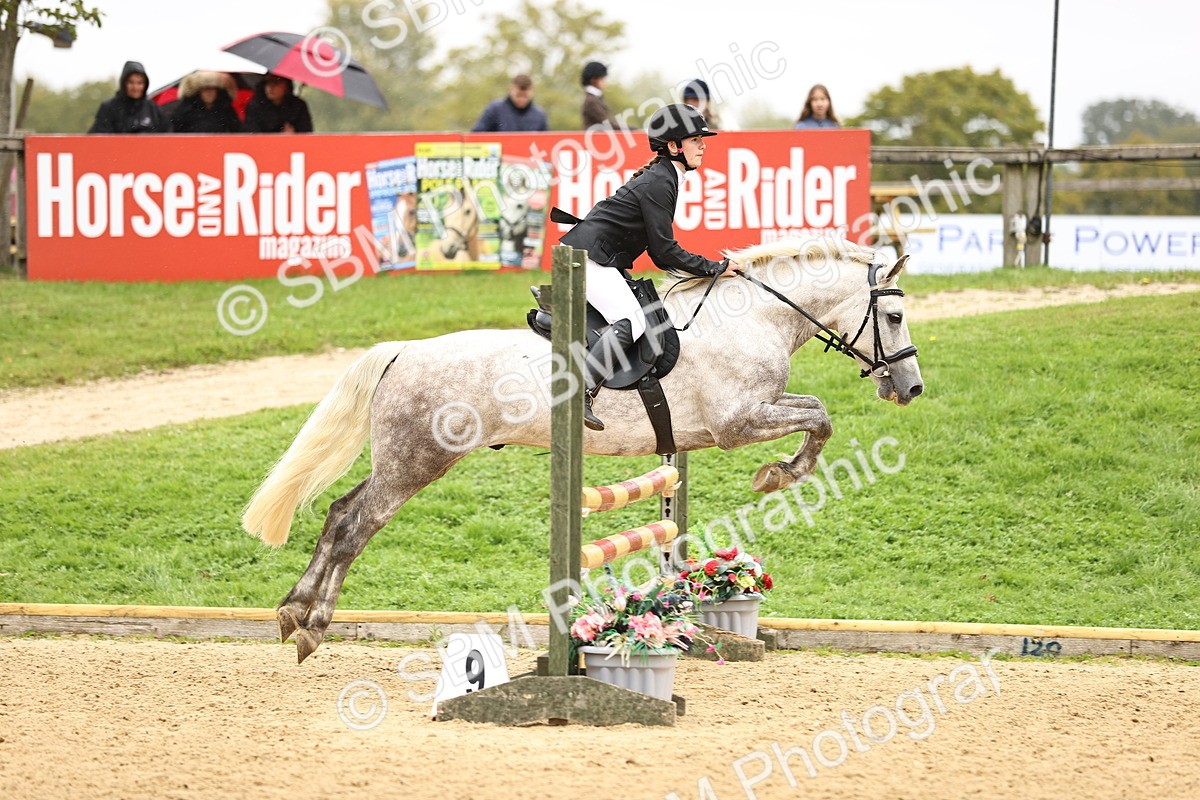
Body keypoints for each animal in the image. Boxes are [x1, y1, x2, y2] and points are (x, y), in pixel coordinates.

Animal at [242, 237, 924, 662]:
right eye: (893, 318)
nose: (910, 388)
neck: (751, 320)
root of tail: (404, 350)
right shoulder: (739, 422)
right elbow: (820, 417)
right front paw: (779, 475)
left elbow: (816, 414)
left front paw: (780, 473)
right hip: (417, 462)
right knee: (357, 524)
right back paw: (314, 627)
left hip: (406, 460)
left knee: (338, 513)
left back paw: (292, 611)